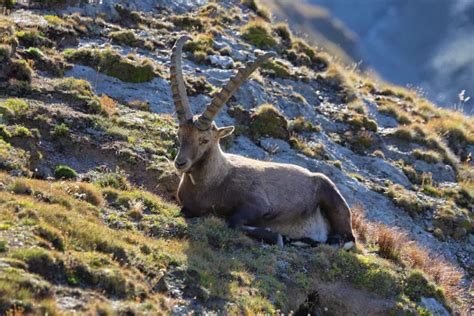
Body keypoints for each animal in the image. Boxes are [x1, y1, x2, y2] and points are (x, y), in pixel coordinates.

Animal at [168, 36, 354, 247]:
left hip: (331, 195)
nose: (180, 163)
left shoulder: (258, 204)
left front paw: (277, 236)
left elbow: (234, 221)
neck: (213, 181)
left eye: (204, 140)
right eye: (179, 134)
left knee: (346, 239)